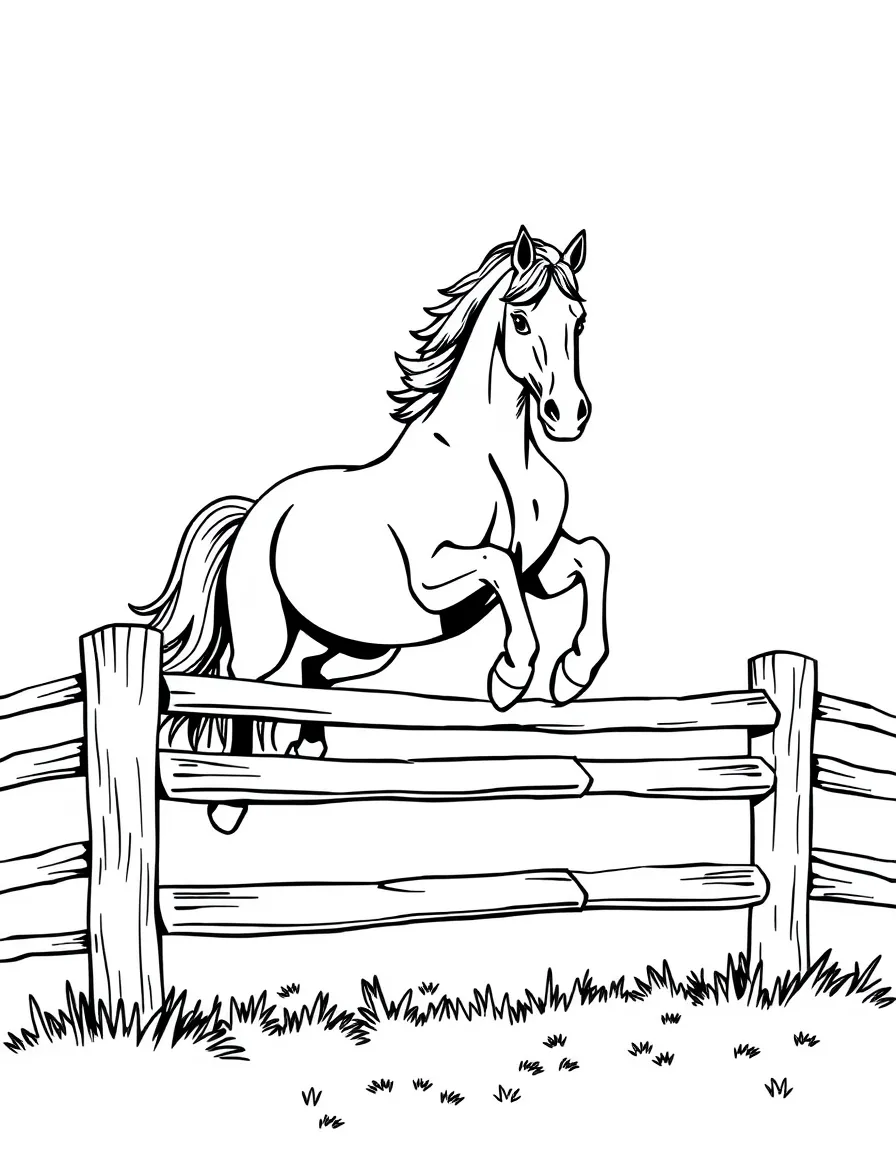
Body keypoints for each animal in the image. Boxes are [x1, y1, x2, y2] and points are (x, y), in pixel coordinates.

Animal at [132, 226, 609, 833]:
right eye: (521, 319)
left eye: (579, 318)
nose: (567, 414)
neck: (497, 458)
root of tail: (253, 516)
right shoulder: (435, 578)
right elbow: (496, 564)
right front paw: (508, 679)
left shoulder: (540, 569)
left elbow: (591, 556)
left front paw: (572, 674)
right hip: (266, 641)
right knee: (239, 688)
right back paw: (229, 799)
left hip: (367, 649)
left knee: (311, 671)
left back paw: (309, 749)